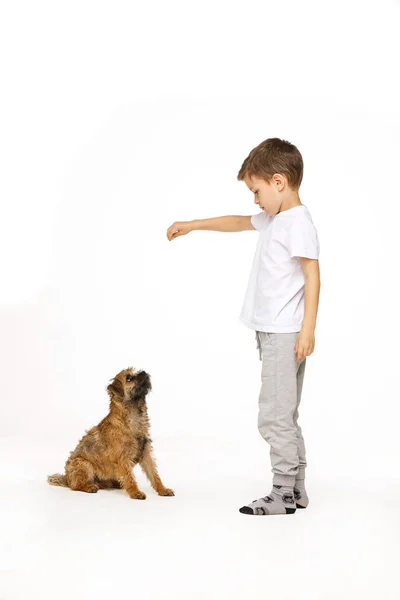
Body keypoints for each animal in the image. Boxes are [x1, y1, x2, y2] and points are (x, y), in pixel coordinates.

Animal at [46, 368, 173, 500]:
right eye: (129, 378)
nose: (143, 371)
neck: (133, 416)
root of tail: (66, 478)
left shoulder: (146, 453)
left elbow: (154, 474)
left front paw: (163, 489)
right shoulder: (122, 458)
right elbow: (129, 477)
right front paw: (135, 492)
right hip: (83, 464)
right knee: (75, 486)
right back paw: (89, 487)